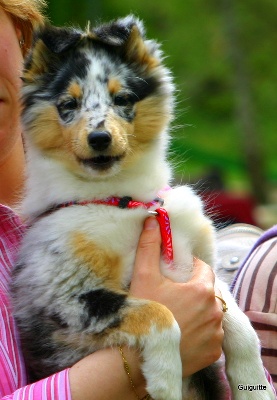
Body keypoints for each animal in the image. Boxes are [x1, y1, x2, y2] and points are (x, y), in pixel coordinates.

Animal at [11, 15, 274, 400]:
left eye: (122, 98)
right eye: (68, 105)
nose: (99, 139)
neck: (123, 200)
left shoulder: (205, 267)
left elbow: (239, 322)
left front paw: (255, 385)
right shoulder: (67, 298)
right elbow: (160, 313)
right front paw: (165, 381)